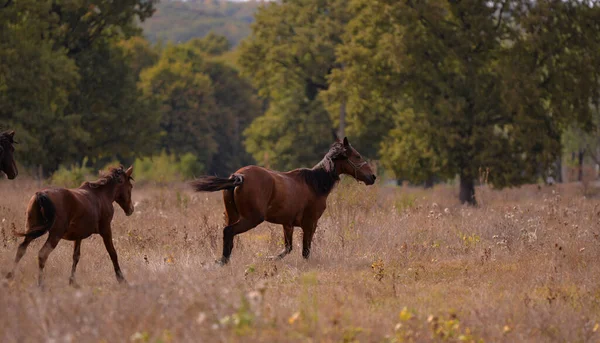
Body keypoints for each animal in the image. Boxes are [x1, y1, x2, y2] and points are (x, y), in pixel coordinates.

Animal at [6, 167, 135, 288]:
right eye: (130, 186)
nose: (131, 209)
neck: (101, 195)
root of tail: (40, 194)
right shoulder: (106, 230)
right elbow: (112, 253)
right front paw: (121, 279)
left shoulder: (78, 237)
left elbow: (76, 256)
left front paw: (72, 281)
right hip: (55, 235)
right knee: (42, 254)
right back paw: (40, 284)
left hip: (31, 231)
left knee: (21, 249)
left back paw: (10, 277)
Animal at [190, 136, 376, 264]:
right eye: (357, 156)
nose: (372, 177)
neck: (315, 184)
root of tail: (238, 177)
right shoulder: (310, 224)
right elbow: (305, 251)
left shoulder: (288, 224)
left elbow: (288, 248)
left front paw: (270, 258)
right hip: (251, 219)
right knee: (228, 232)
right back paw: (223, 262)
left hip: (232, 215)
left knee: (227, 235)